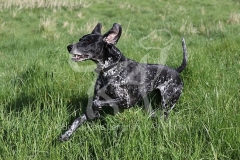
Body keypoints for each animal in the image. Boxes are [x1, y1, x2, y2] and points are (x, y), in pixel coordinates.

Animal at [59, 22, 187, 141]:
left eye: (88, 41)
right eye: (80, 39)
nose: (69, 47)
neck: (109, 69)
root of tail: (176, 71)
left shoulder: (125, 101)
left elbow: (100, 102)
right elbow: (77, 120)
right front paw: (66, 134)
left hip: (167, 105)